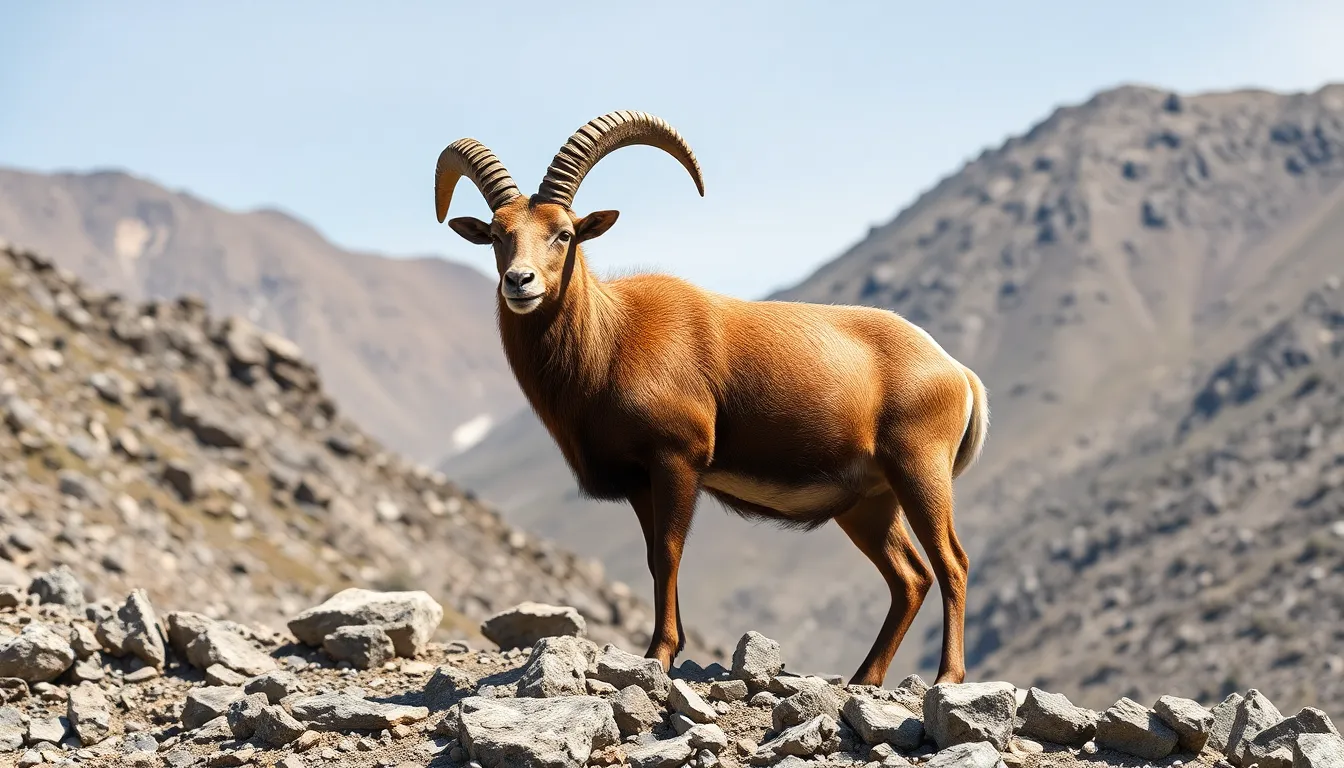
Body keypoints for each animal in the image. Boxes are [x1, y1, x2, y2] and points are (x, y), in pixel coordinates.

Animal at [434, 110, 989, 686]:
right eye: (497, 234)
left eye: (563, 233)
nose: (519, 282)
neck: (613, 339)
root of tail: (956, 372)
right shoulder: (640, 481)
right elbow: (654, 558)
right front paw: (666, 650)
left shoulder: (678, 460)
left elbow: (670, 552)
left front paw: (659, 654)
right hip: (870, 503)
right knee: (910, 576)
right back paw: (865, 677)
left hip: (919, 470)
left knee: (951, 562)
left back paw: (947, 677)